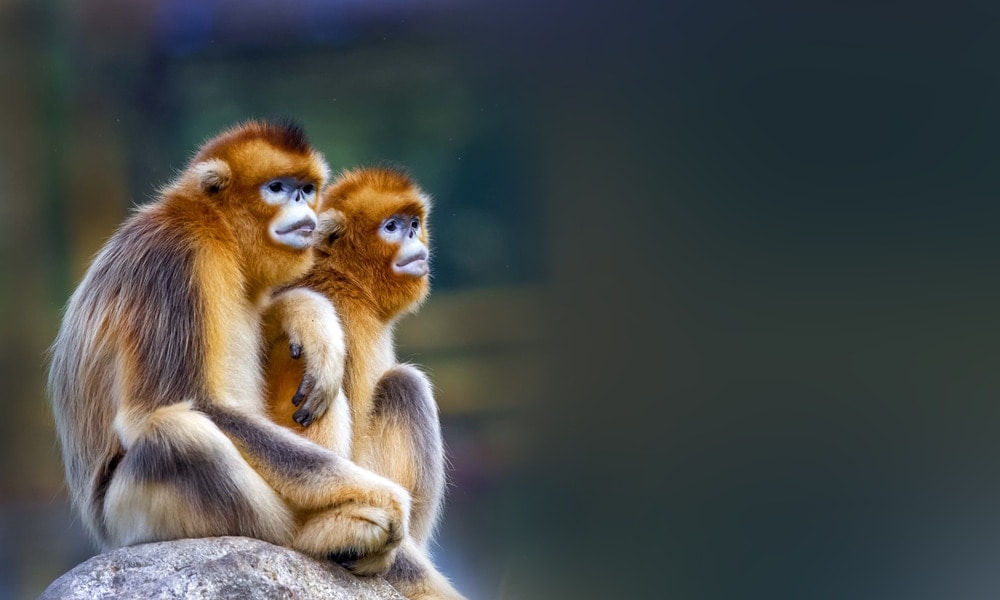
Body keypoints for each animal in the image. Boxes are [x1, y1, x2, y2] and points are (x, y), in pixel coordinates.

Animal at [47, 121, 412, 576]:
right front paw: (387, 497)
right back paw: (317, 535)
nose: (302, 204)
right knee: (178, 438)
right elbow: (179, 405)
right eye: (277, 188)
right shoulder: (175, 260)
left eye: (307, 189)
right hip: (126, 518)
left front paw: (308, 316)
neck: (214, 227)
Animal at [264, 166, 464, 599]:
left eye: (413, 224)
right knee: (405, 385)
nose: (413, 239)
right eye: (391, 227)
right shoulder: (349, 322)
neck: (343, 277)